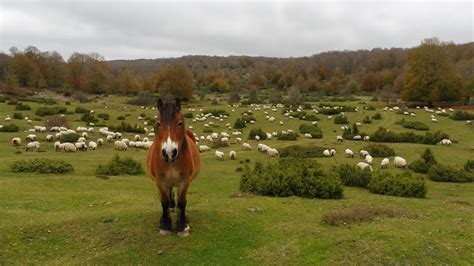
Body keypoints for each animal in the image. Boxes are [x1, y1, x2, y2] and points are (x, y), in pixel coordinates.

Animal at [146, 97, 202, 237]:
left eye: (180, 123)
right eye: (158, 123)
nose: (169, 152)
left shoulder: (185, 180)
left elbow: (182, 202)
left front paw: (183, 225)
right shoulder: (160, 181)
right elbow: (164, 202)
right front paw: (165, 224)